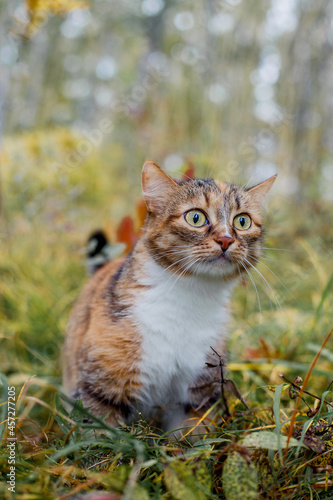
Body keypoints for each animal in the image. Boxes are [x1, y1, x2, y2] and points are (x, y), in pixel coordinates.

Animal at [62, 159, 274, 434]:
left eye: (242, 221)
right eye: (196, 217)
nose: (226, 239)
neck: (189, 300)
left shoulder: (197, 393)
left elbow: (192, 434)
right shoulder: (100, 390)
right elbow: (97, 433)